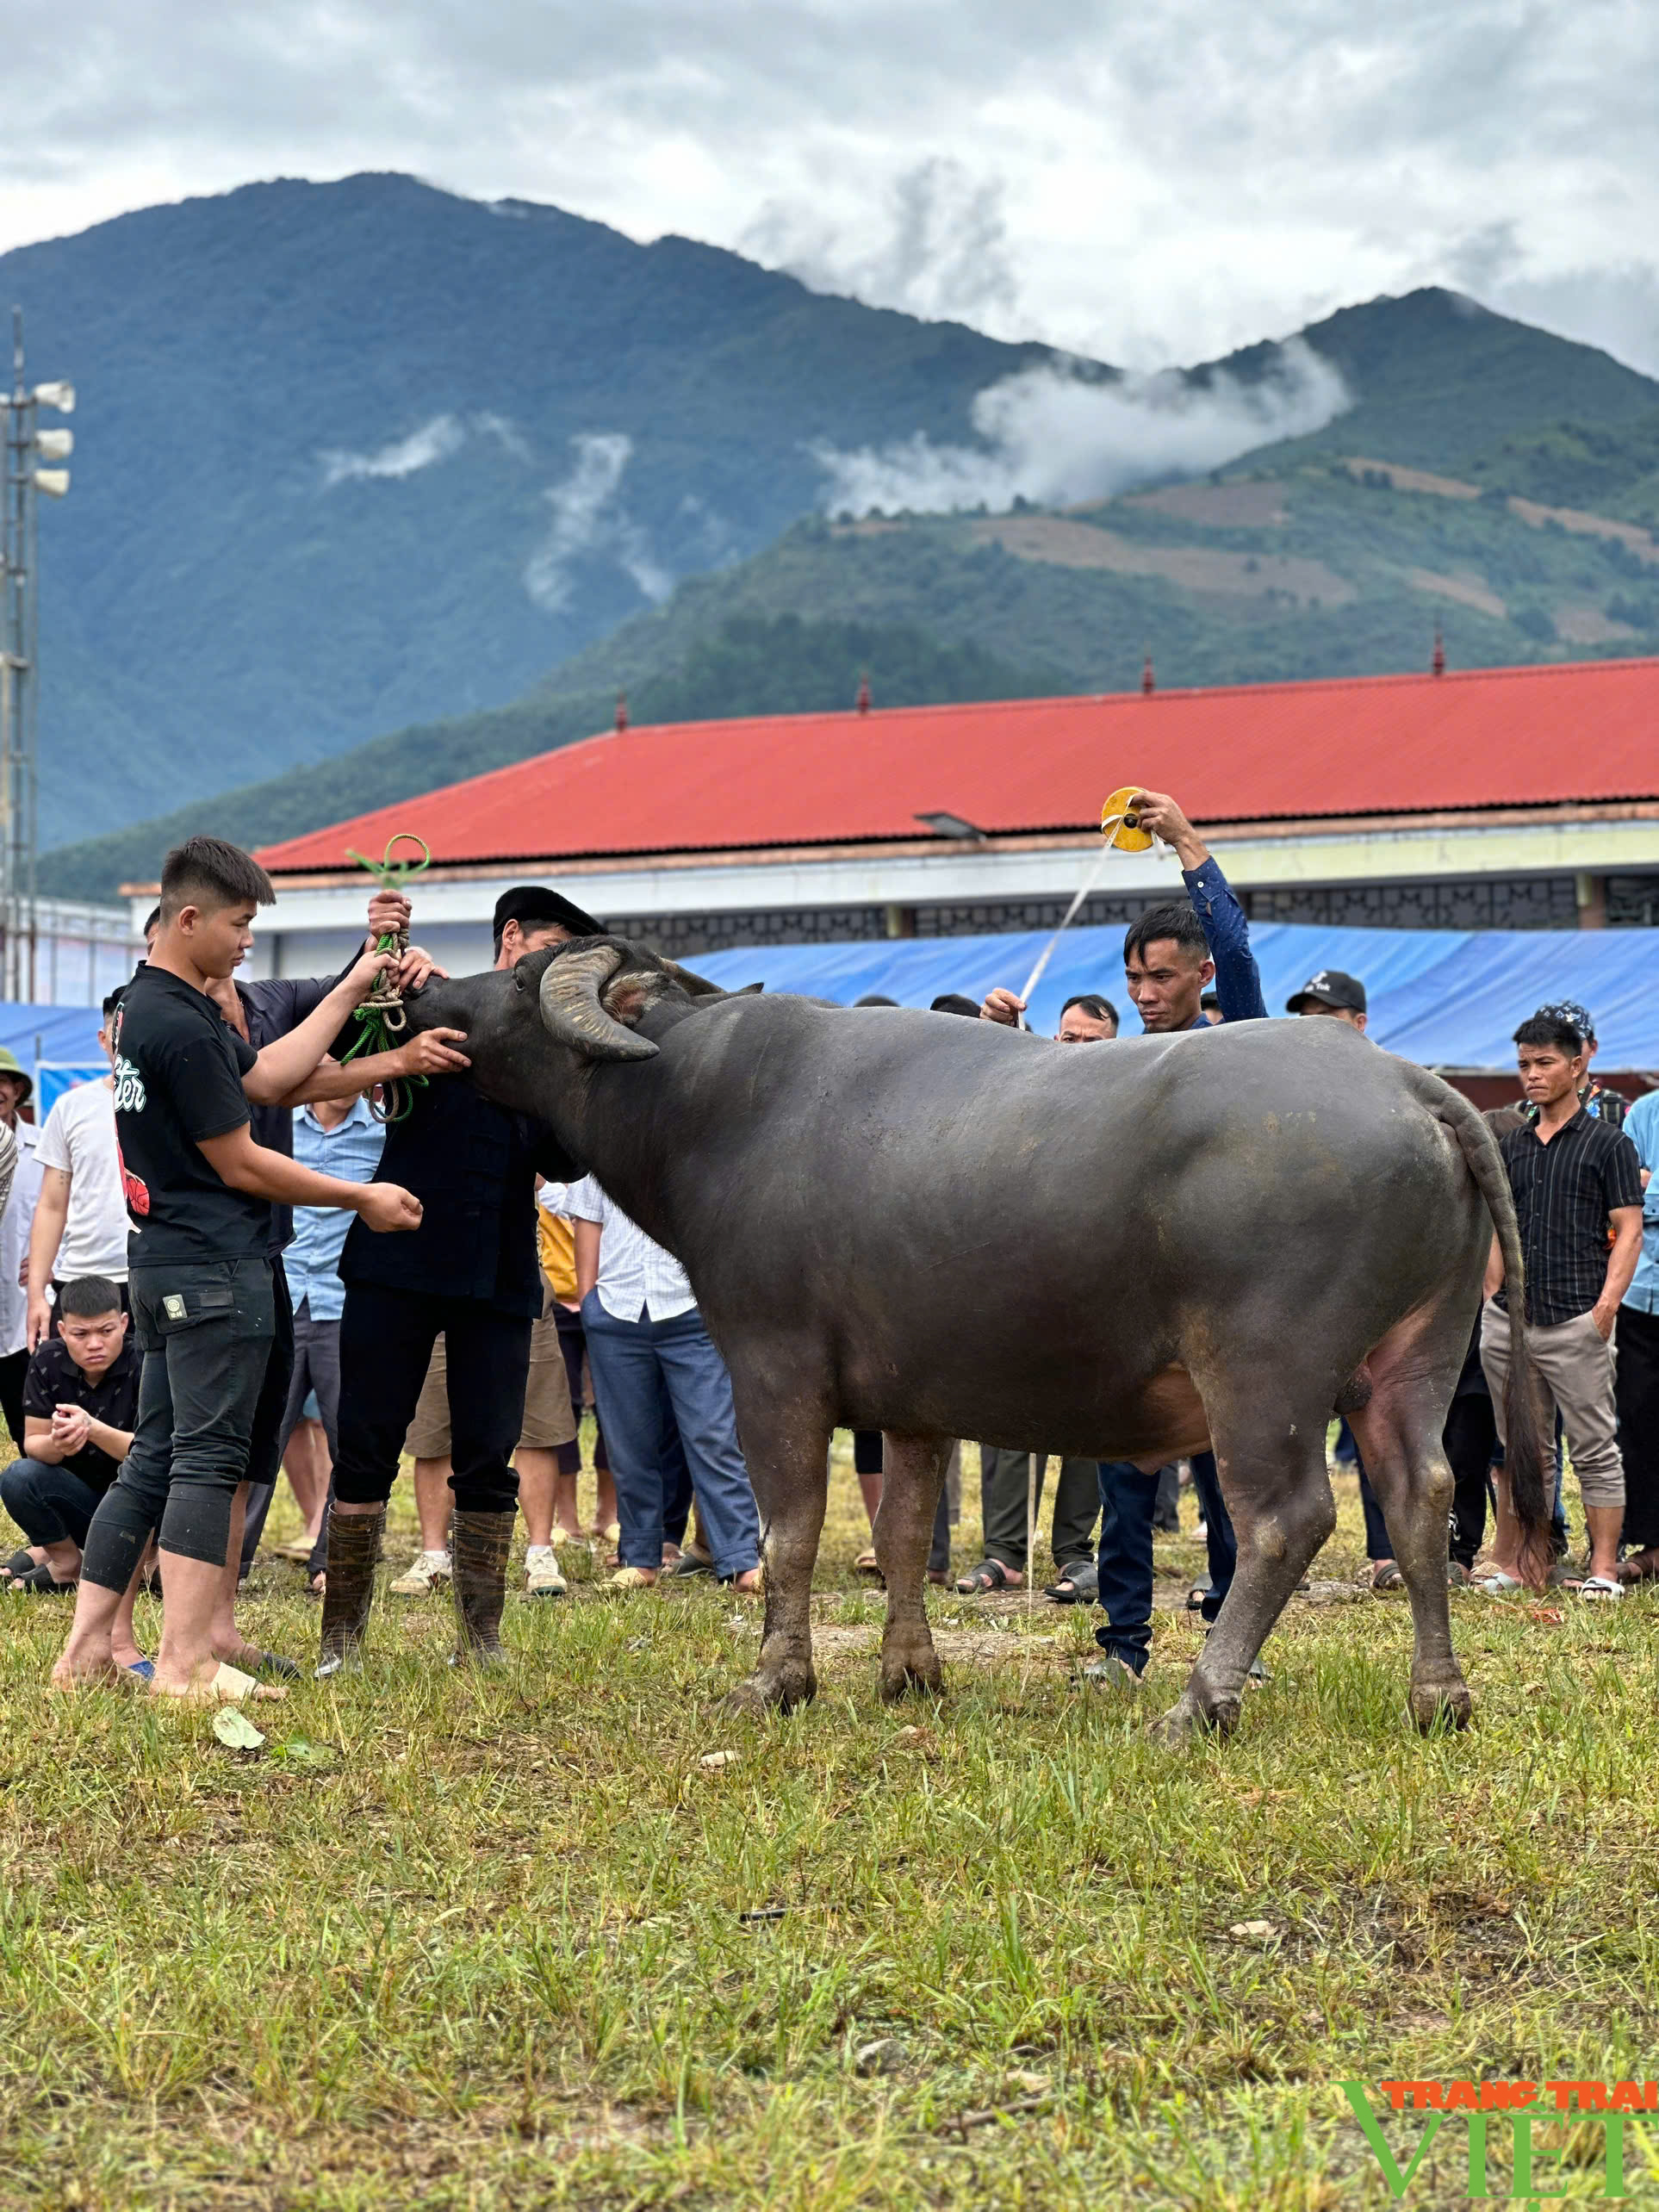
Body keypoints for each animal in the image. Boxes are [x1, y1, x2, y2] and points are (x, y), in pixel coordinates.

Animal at [409, 941, 1556, 1734]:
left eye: (520, 979)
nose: (425, 996)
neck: (706, 1100)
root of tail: (1414, 1086)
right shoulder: (914, 1405)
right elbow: (905, 1534)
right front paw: (909, 1672)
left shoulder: (772, 1372)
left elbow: (789, 1535)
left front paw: (776, 1681)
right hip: (1412, 1359)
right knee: (1421, 1497)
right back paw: (1440, 1696)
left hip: (1261, 1374)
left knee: (1285, 1521)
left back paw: (1199, 1703)